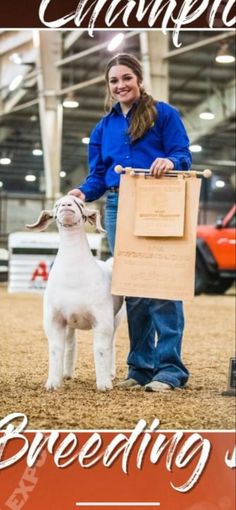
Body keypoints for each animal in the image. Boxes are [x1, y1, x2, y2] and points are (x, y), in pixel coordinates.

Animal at [26, 194, 122, 390]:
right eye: (56, 205)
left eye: (81, 203)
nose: (66, 204)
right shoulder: (54, 319)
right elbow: (56, 349)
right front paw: (53, 383)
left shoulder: (102, 320)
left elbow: (101, 349)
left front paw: (104, 385)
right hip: (70, 322)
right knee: (71, 343)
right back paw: (67, 373)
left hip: (116, 318)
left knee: (111, 344)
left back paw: (110, 373)